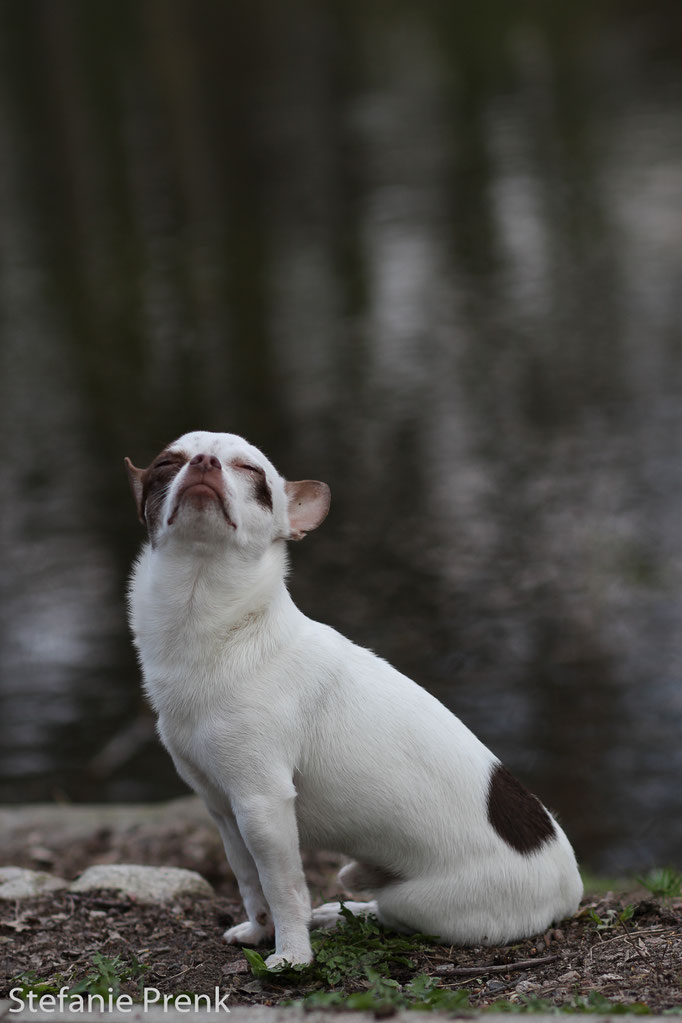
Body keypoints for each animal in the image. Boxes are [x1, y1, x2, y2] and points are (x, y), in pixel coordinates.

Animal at [126, 431, 580, 965]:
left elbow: (283, 888)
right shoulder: (225, 811)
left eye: (251, 472)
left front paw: (292, 956)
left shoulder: (262, 806)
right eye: (166, 463)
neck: (217, 628)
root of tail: (571, 890)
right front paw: (259, 932)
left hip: (423, 902)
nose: (202, 463)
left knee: (390, 911)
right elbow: (250, 883)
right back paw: (339, 913)